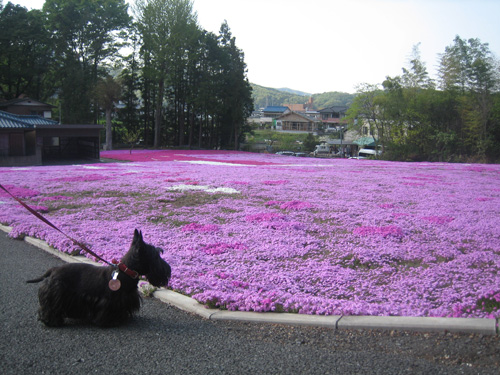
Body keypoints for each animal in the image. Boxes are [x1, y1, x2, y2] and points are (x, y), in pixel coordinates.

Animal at [27, 228, 172, 328]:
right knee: (49, 308)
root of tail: (53, 270)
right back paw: (51, 321)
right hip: (56, 294)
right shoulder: (109, 302)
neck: (126, 271)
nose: (168, 270)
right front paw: (112, 321)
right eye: (155, 256)